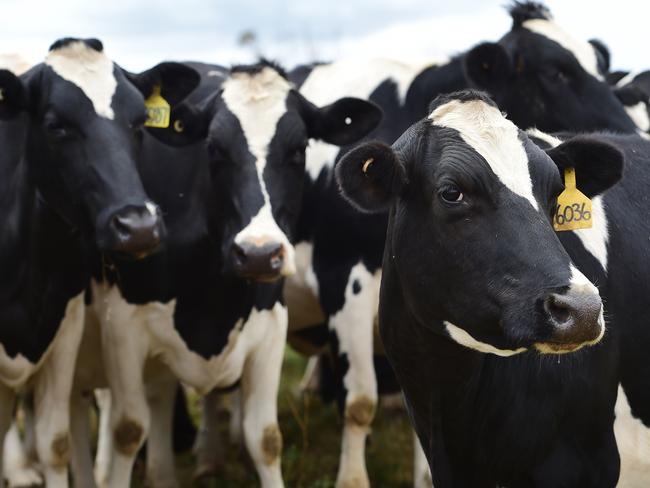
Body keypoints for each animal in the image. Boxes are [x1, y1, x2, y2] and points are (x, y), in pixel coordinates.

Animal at [64, 59, 380, 486]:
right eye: (214, 148)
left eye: (299, 150)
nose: (259, 254)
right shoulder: (122, 328)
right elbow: (127, 430)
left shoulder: (270, 324)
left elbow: (265, 438)